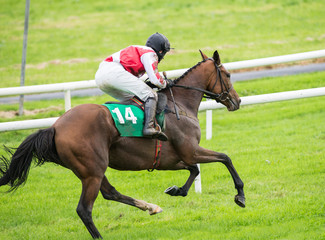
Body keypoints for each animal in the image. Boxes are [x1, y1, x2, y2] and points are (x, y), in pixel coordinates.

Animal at [0, 49, 243, 239]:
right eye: (228, 74)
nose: (237, 100)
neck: (180, 104)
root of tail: (55, 127)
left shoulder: (173, 159)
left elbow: (194, 170)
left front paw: (176, 190)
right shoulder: (191, 151)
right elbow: (225, 158)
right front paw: (240, 196)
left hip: (90, 170)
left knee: (110, 193)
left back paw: (150, 207)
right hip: (93, 170)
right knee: (84, 209)